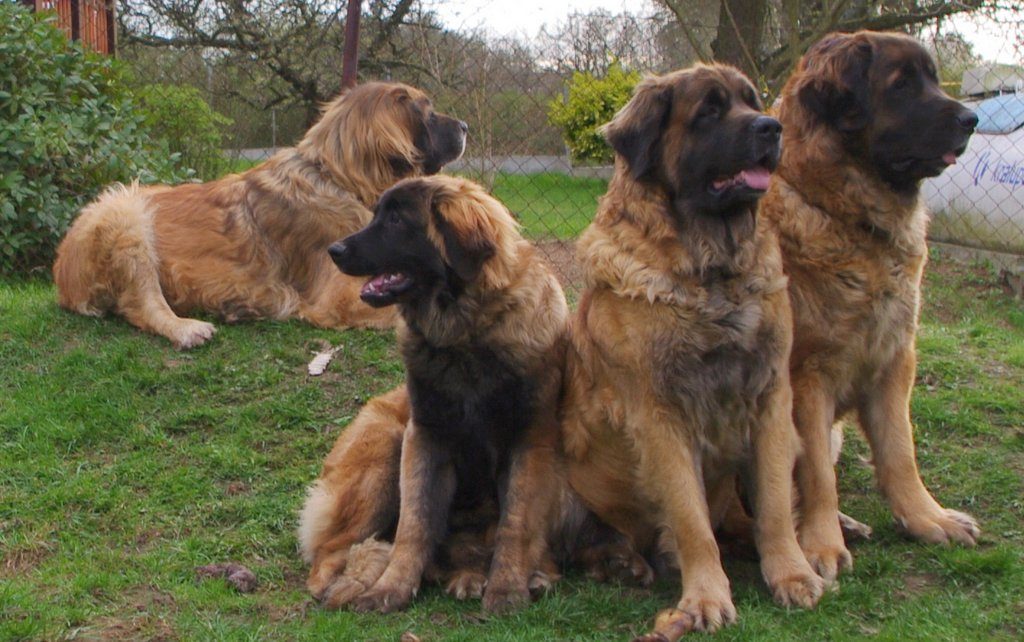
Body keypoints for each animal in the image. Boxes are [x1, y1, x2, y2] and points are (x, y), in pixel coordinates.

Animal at [48, 83, 464, 352]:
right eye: (428, 113)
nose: (464, 127)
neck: (337, 178)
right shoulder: (340, 295)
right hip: (125, 213)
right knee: (141, 304)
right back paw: (187, 329)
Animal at [296, 174, 573, 614]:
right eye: (378, 213)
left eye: (396, 220)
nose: (334, 250)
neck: (465, 335)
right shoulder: (424, 436)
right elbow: (415, 525)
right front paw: (390, 588)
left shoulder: (529, 441)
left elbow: (515, 523)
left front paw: (506, 589)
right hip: (385, 451)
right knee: (331, 552)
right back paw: (353, 581)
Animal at [561, 65, 823, 638]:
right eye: (709, 110)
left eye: (753, 102)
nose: (772, 128)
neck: (712, 275)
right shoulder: (660, 416)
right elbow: (690, 517)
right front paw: (705, 597)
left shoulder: (771, 398)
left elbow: (773, 503)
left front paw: (791, 573)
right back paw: (620, 560)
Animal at [765, 30, 978, 581]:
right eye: (901, 85)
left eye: (933, 79)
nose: (972, 119)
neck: (847, 217)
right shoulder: (807, 376)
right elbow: (816, 472)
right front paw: (820, 544)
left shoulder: (895, 359)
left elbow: (900, 450)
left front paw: (927, 518)